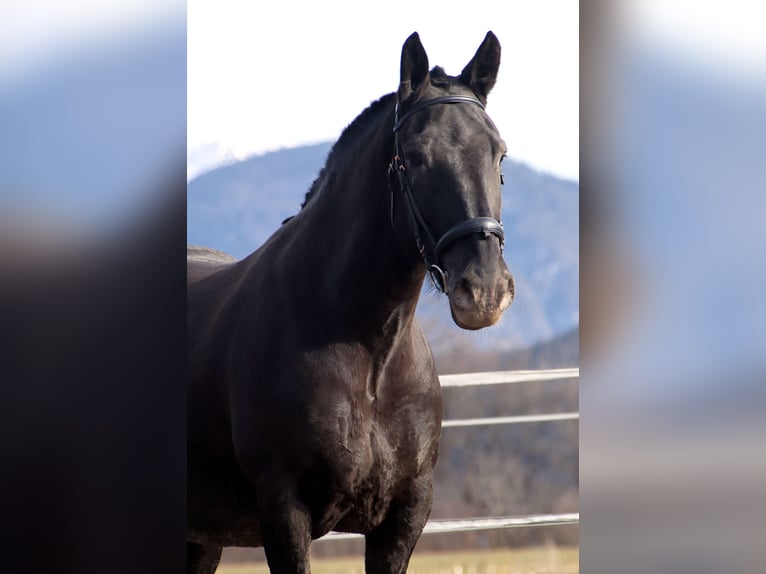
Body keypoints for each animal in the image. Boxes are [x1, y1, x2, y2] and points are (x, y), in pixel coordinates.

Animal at [188, 32, 516, 574]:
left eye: (500, 154)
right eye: (414, 156)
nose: (485, 291)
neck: (369, 358)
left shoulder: (403, 517)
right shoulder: (285, 512)